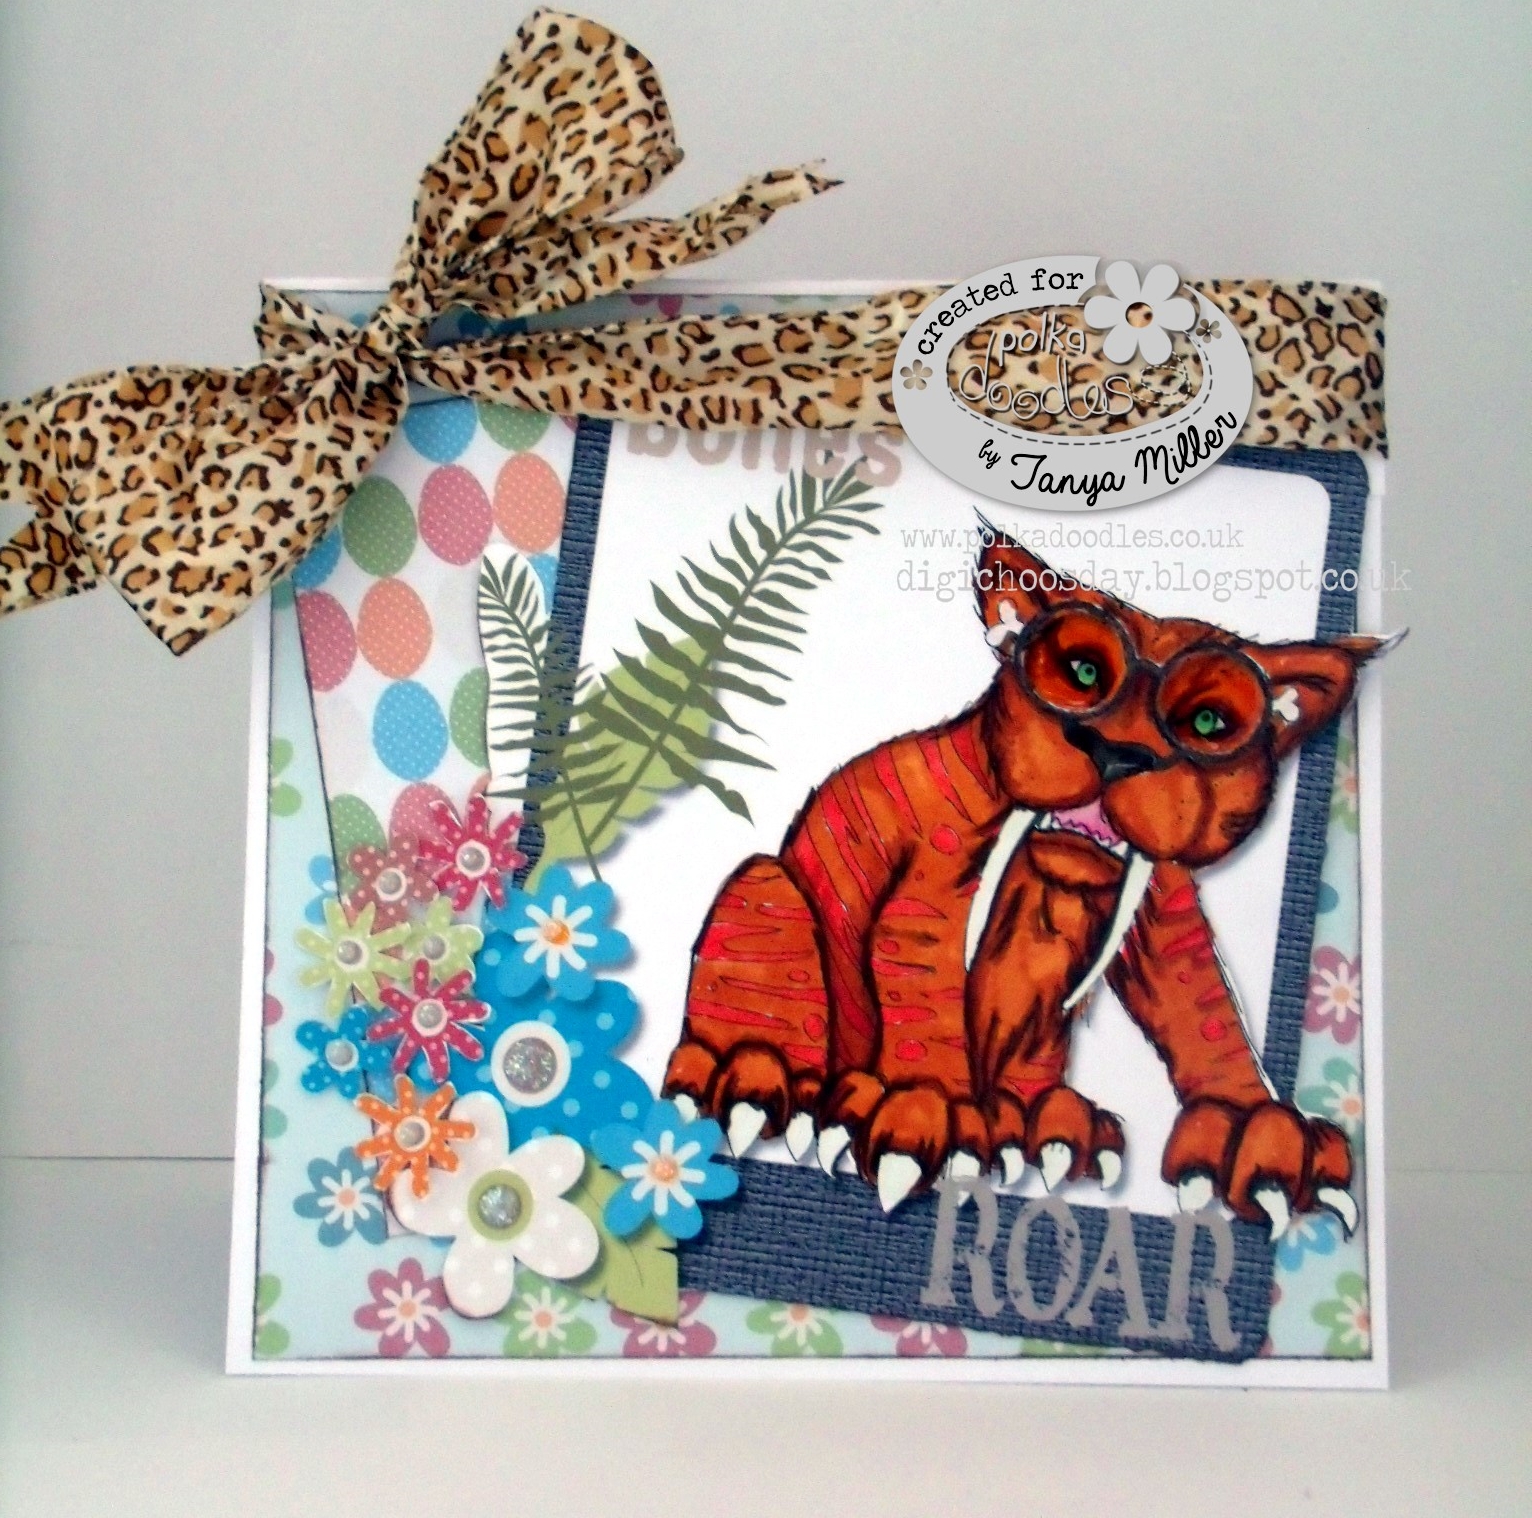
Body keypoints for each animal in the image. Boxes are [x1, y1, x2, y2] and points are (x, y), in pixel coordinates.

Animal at [662, 527, 1386, 1232]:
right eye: (1083, 673)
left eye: (1208, 724)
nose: (1116, 752)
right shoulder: (930, 895)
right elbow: (927, 995)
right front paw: (932, 1109)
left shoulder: (1166, 904)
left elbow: (1204, 1009)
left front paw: (1255, 1132)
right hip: (766, 883)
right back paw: (758, 1076)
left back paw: (1043, 1119)